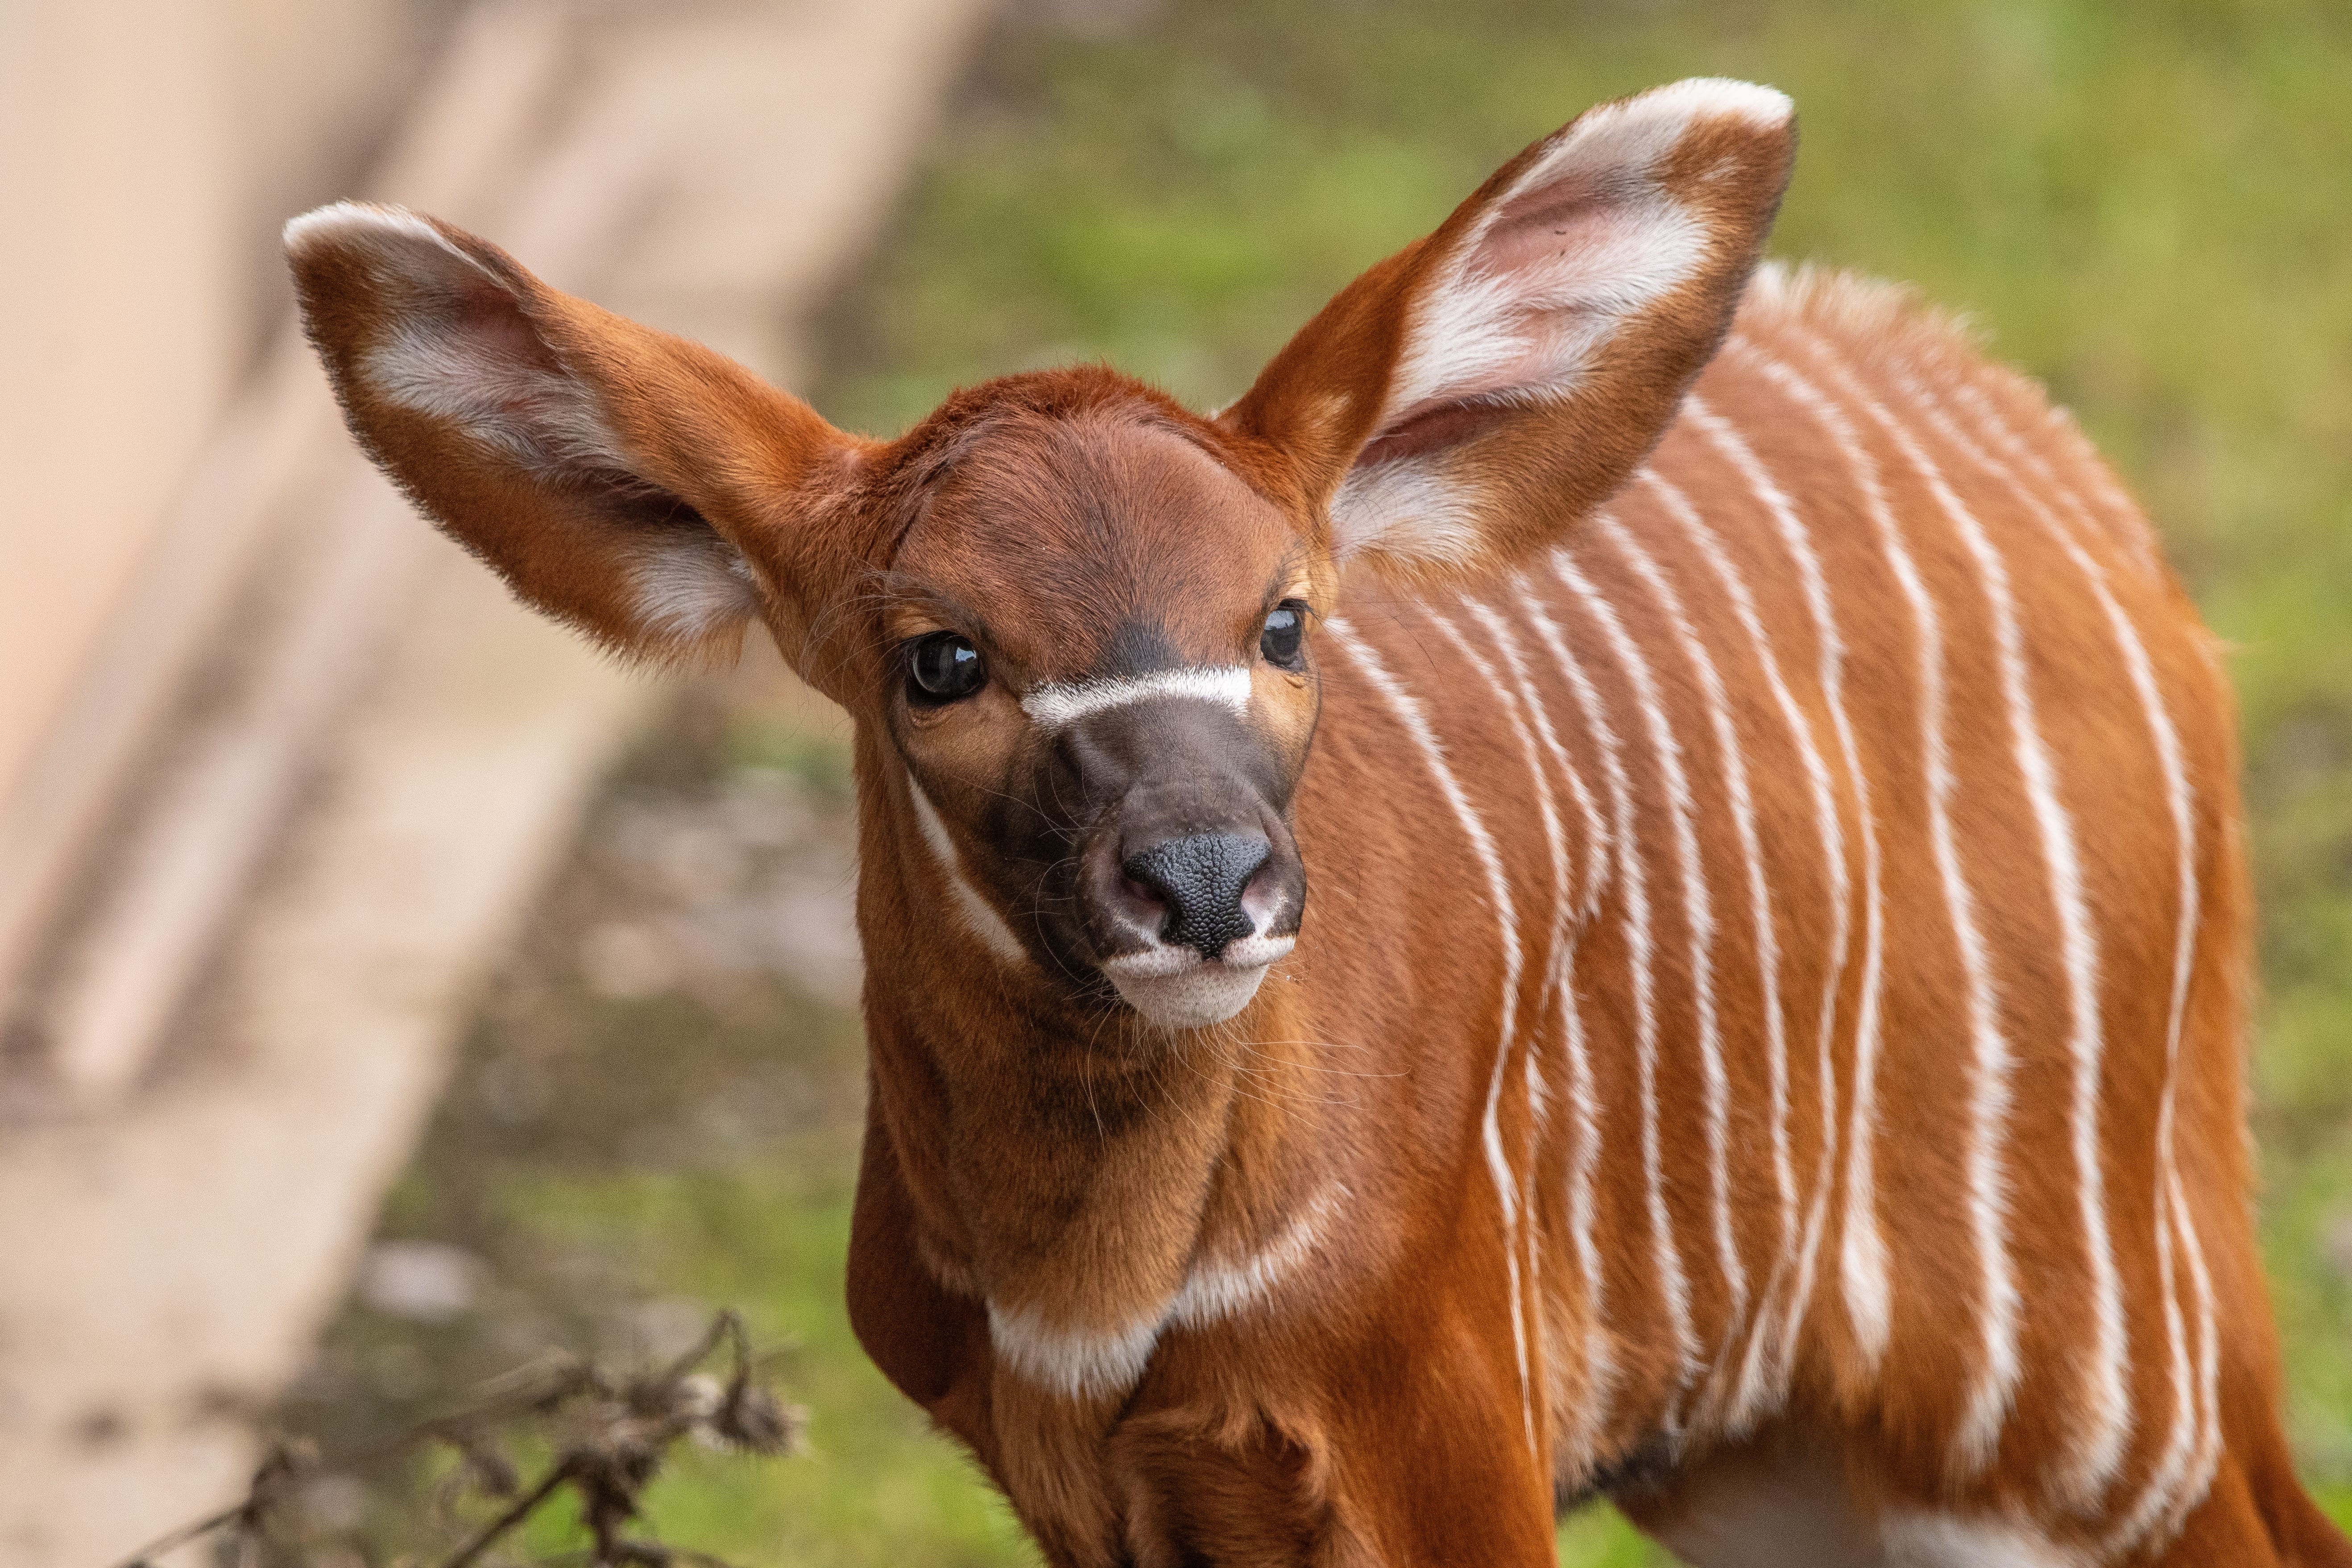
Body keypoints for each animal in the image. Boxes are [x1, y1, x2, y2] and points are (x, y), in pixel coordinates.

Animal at [284, 83, 2342, 1568]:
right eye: (939, 656)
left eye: (1281, 617)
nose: (1205, 884)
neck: (1100, 1294)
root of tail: (2069, 474)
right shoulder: (1091, 1488)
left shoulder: (1429, 1437)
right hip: (1779, 1448)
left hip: (2080, 1391)